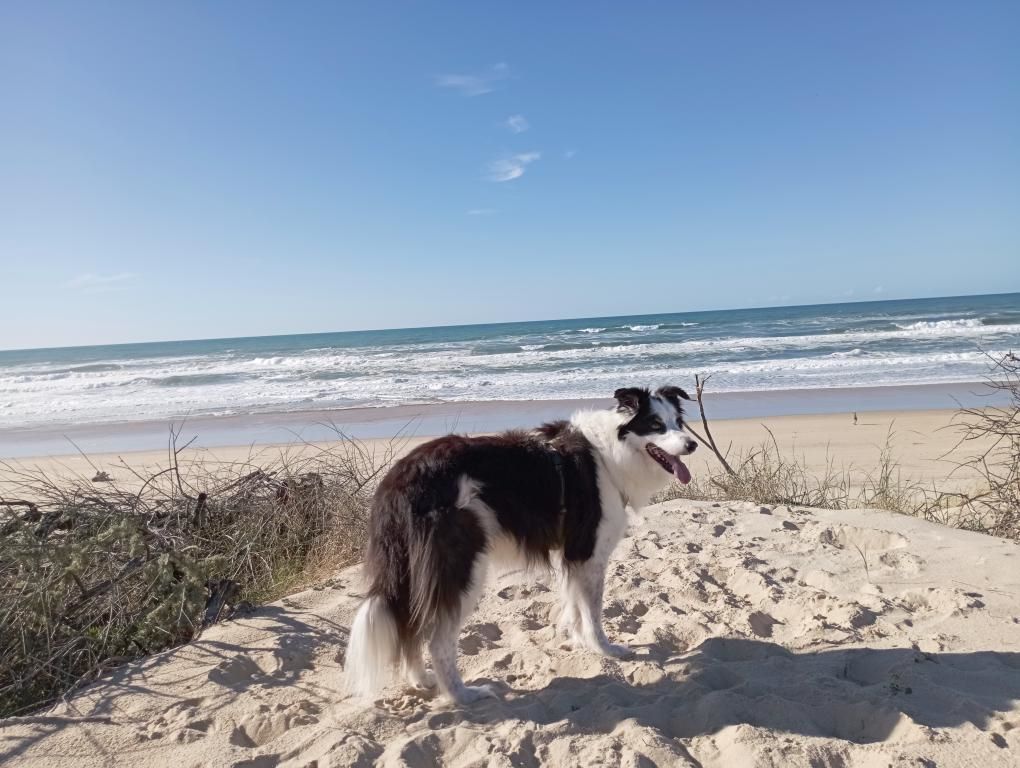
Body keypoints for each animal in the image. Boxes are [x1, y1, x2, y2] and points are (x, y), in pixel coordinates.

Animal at [346, 385, 697, 705]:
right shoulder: (589, 553)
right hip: (461, 569)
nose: (692, 444)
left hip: (412, 570)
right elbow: (593, 612)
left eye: (678, 421)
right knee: (437, 641)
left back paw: (422, 680)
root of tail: (398, 480)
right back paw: (464, 695)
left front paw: (581, 643)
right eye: (655, 424)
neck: (610, 454)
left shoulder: (572, 556)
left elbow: (575, 606)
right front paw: (605, 648)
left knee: (411, 625)